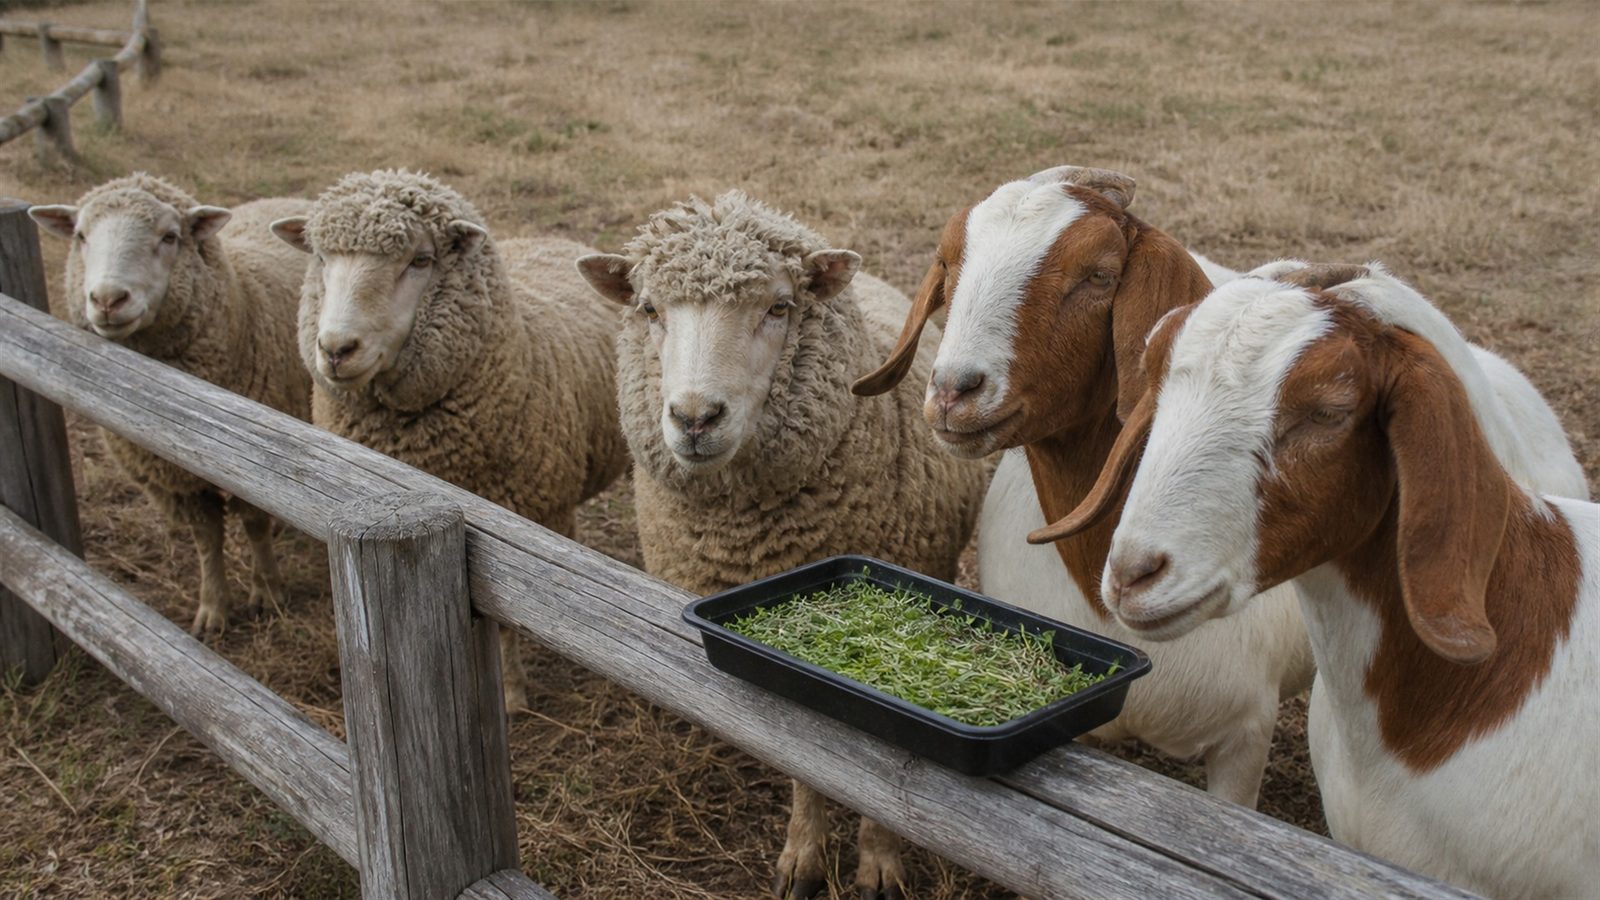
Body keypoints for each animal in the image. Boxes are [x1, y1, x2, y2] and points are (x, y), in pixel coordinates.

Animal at [29, 174, 312, 636]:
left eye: (169, 237)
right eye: (81, 236)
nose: (108, 300)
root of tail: (284, 198)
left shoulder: (257, 468)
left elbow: (254, 525)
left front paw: (267, 591)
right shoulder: (177, 479)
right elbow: (206, 538)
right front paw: (212, 609)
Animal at [269, 170, 628, 714]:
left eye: (420, 260)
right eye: (321, 258)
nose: (336, 349)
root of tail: (552, 238)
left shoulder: (511, 528)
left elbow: (507, 620)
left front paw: (511, 693)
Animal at [576, 191, 988, 900]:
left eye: (779, 307)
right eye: (649, 309)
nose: (695, 419)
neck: (753, 539)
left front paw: (878, 862)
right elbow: (802, 760)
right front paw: (804, 854)